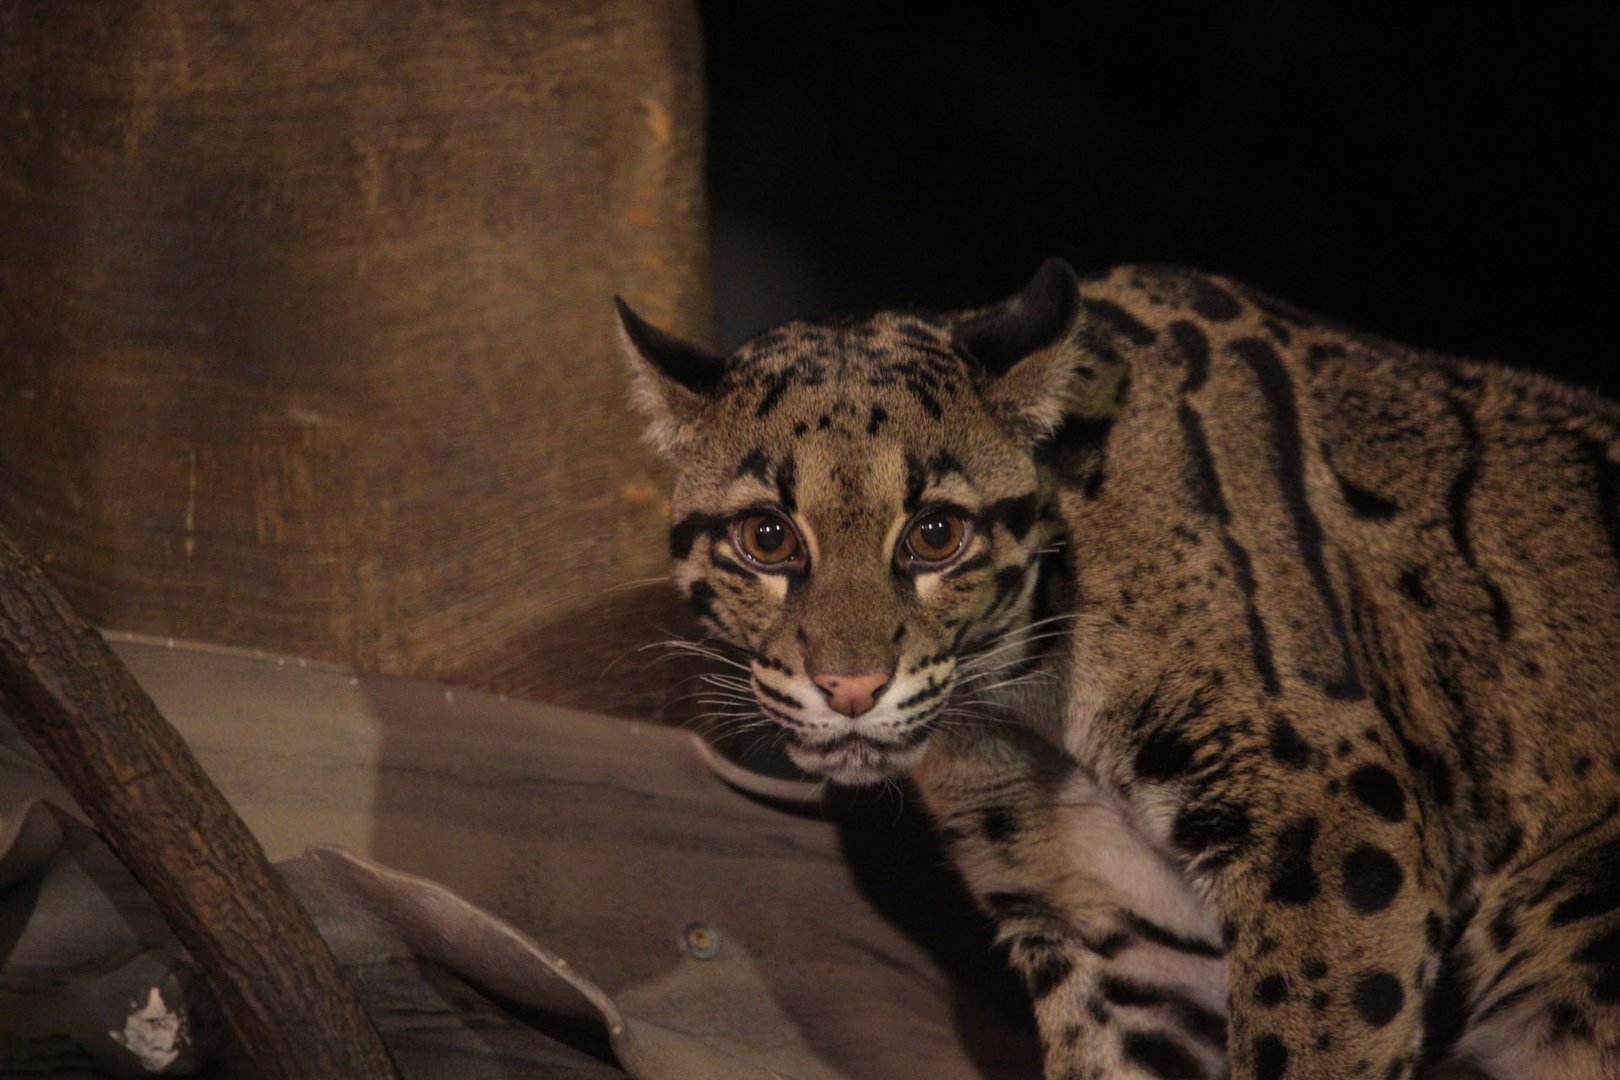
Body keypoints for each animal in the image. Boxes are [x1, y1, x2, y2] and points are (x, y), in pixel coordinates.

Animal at [616, 258, 1620, 1079]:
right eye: (767, 538)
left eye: (937, 534)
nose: (851, 688)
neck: (1025, 708)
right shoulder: (1108, 929)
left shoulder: (1336, 828)